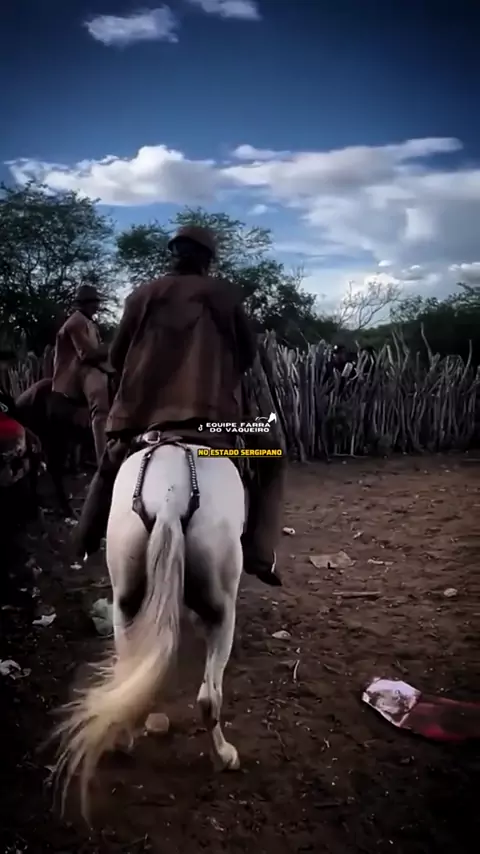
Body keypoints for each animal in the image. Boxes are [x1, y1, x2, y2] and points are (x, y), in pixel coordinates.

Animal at [53, 437, 245, 817]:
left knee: (127, 677)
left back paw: (122, 738)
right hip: (223, 612)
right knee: (209, 697)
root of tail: (169, 497)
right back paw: (224, 756)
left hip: (124, 600)